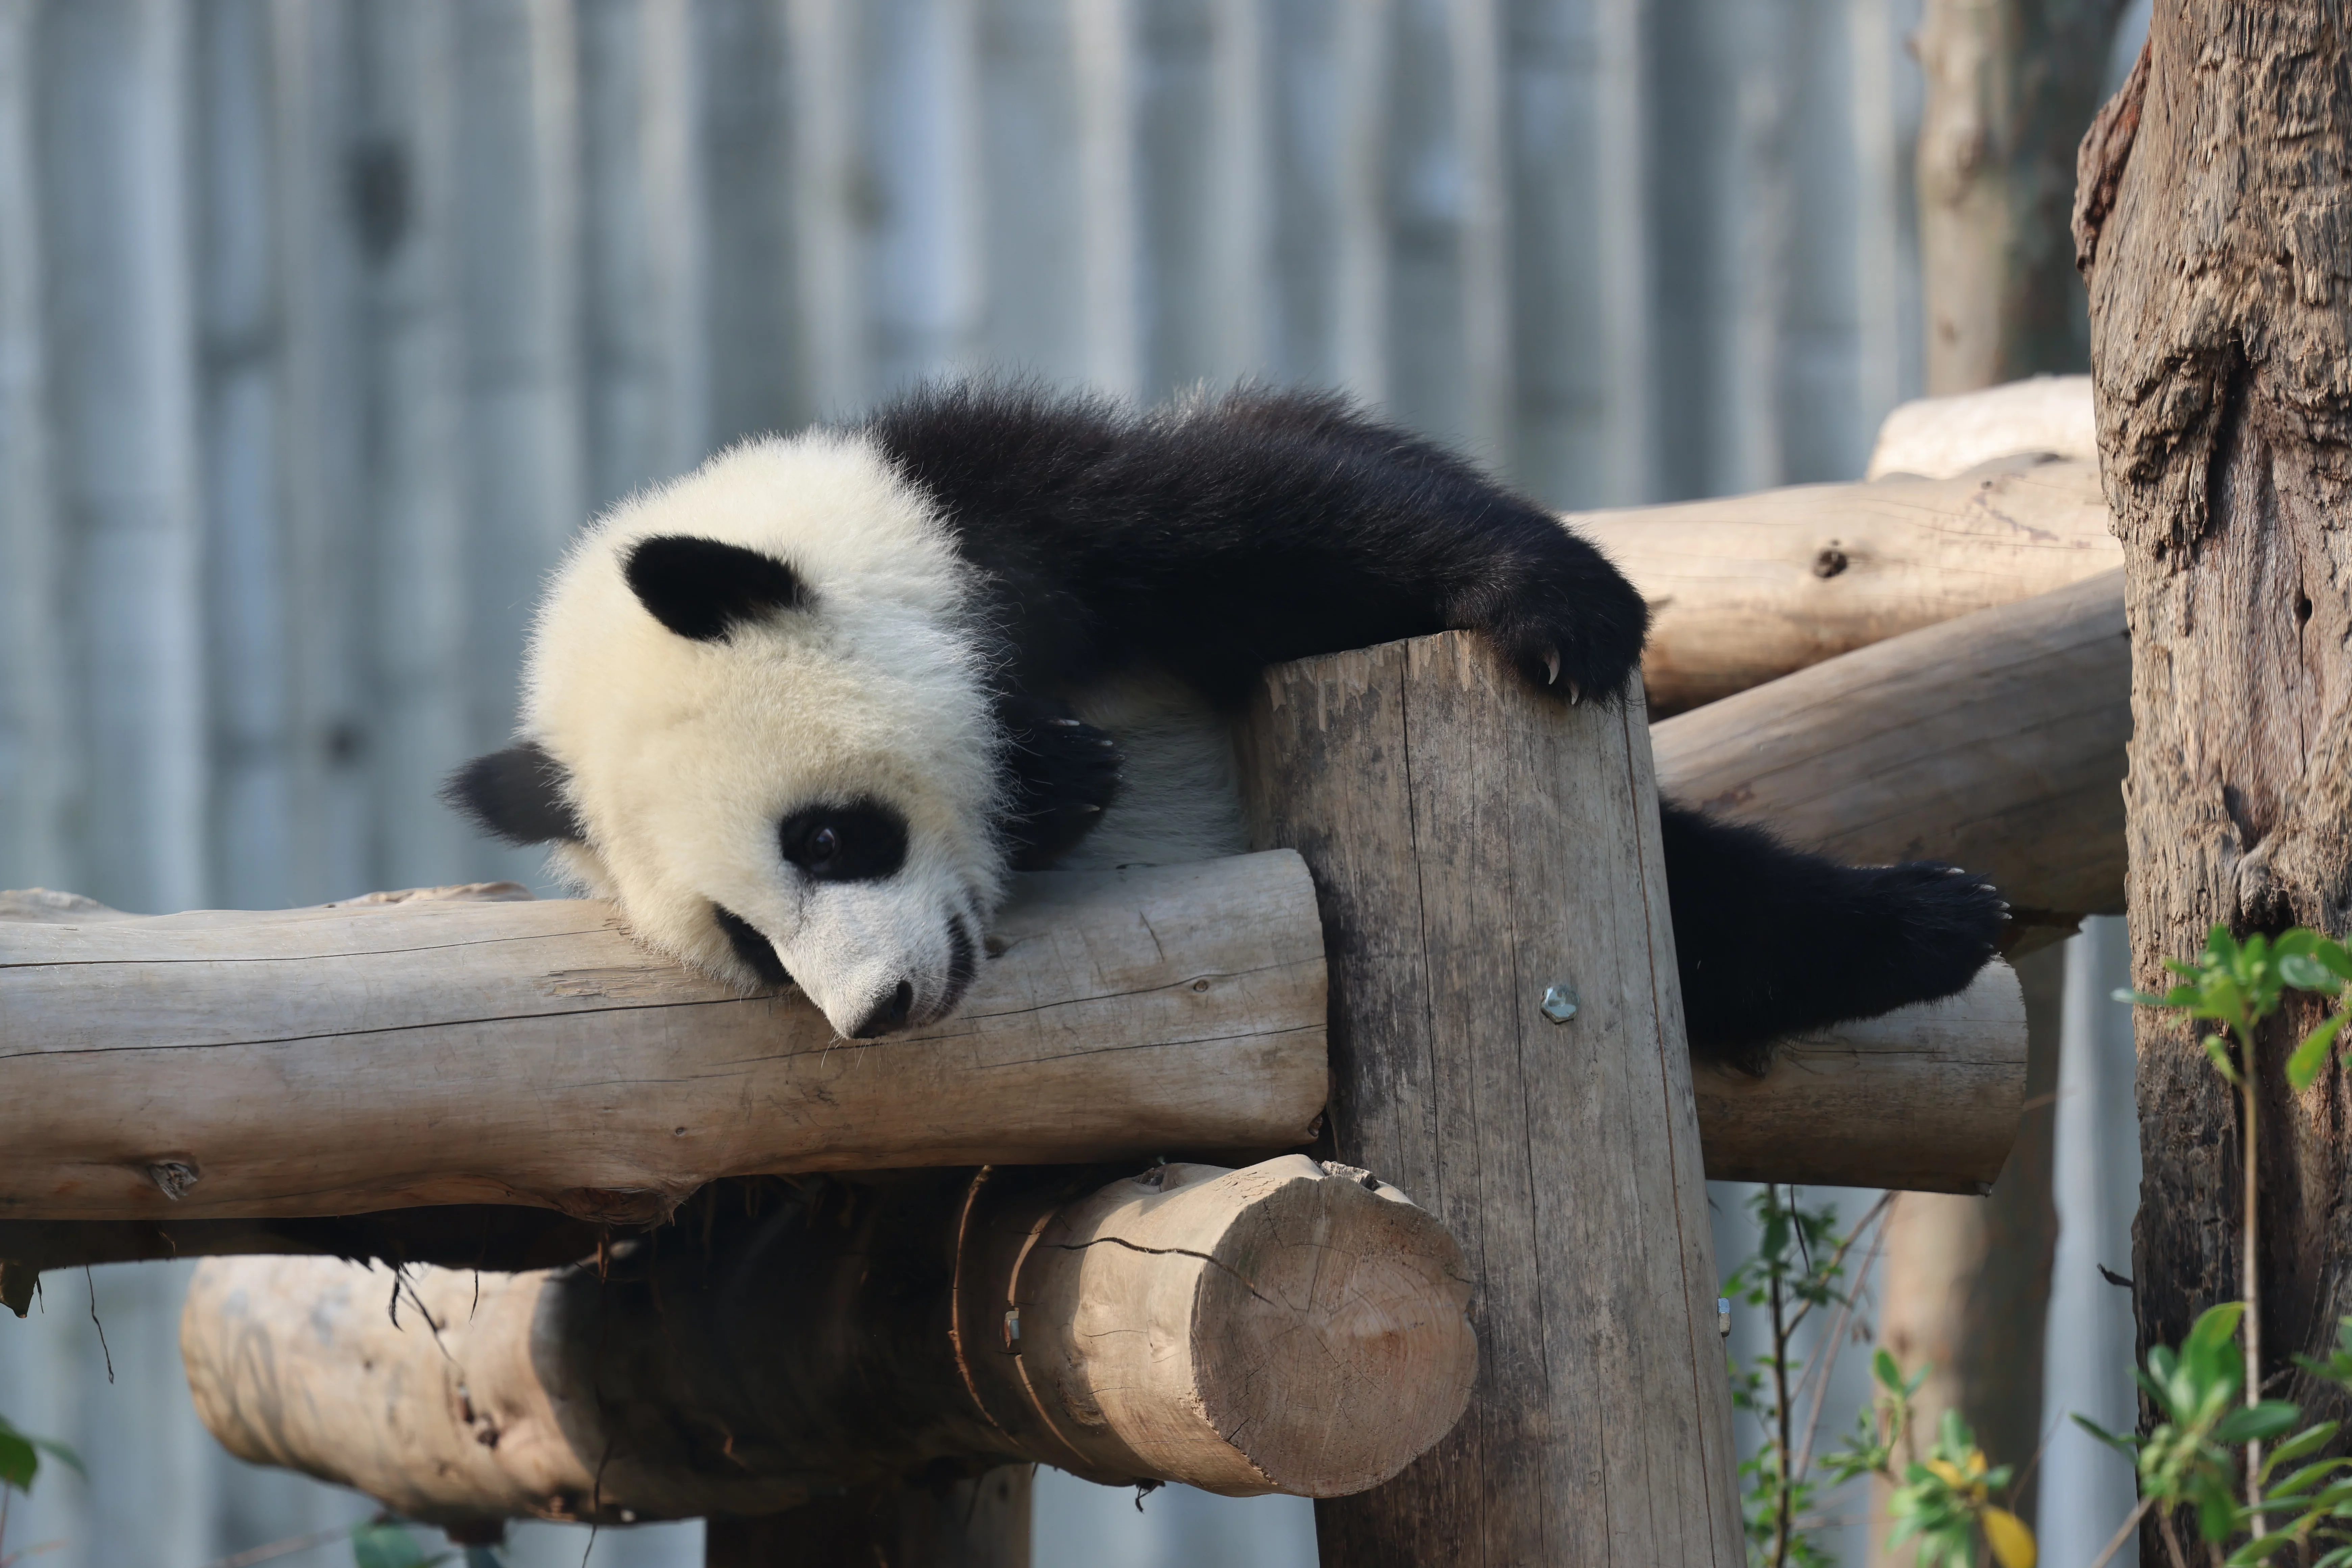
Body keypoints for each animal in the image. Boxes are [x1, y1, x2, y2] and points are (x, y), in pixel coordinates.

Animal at [446, 382, 2006, 1071]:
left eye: (831, 837)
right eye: (749, 944)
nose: (876, 1009)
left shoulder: (997, 516)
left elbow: (1275, 501)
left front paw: (1560, 606)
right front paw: (1061, 778)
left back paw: (1937, 914)